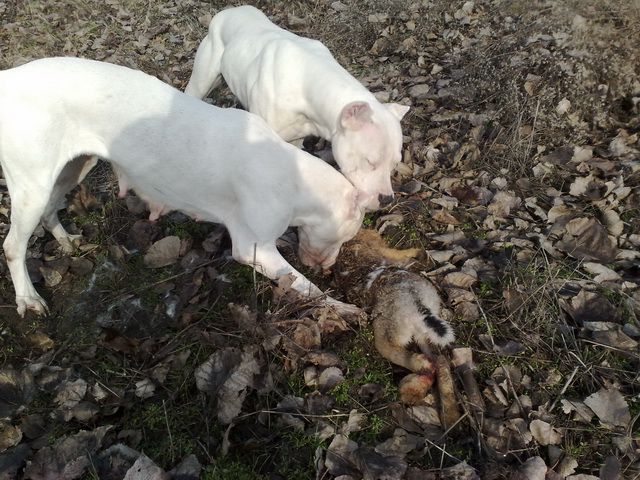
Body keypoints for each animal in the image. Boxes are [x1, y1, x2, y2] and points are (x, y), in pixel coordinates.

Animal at [0, 58, 364, 316]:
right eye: (343, 238)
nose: (329, 268)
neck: (293, 175)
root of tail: (9, 79)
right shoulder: (255, 249)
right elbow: (306, 286)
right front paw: (342, 308)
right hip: (33, 187)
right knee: (13, 245)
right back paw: (28, 299)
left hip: (71, 170)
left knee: (50, 210)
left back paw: (65, 242)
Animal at [184, 3, 410, 210]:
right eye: (370, 162)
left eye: (394, 164)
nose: (387, 199)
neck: (307, 79)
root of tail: (230, 10)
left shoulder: (295, 140)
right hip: (202, 80)